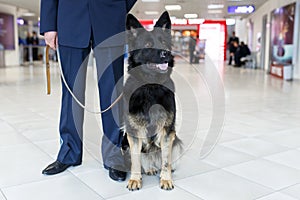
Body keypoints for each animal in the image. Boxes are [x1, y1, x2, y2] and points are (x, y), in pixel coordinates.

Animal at [123, 11, 183, 191]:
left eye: (163, 42)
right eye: (148, 44)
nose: (166, 53)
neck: (151, 86)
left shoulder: (167, 131)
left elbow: (165, 160)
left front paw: (166, 179)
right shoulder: (134, 132)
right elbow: (136, 159)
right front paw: (135, 179)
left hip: (175, 140)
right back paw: (148, 168)